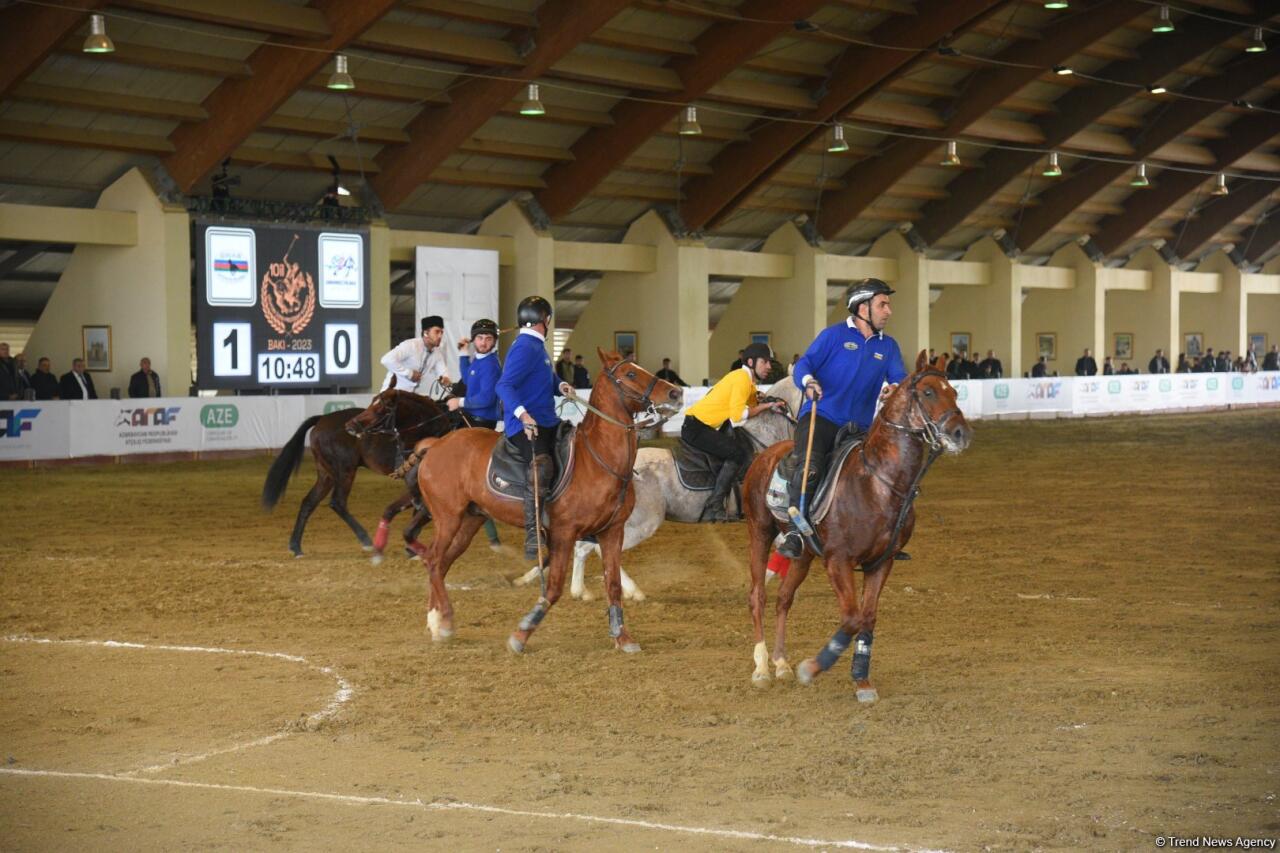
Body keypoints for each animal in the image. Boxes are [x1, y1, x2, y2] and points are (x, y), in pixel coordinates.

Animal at [262, 389, 453, 555]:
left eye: (381, 408)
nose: (352, 426)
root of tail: (323, 418)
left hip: (326, 474)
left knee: (309, 502)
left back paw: (295, 546)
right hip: (345, 470)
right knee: (337, 502)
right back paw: (366, 540)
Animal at [409, 348, 686, 648]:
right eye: (631, 373)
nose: (676, 393)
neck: (597, 460)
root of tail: (436, 445)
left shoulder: (612, 532)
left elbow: (612, 585)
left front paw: (622, 637)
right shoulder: (564, 533)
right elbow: (553, 588)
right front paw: (521, 633)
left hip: (471, 520)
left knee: (441, 564)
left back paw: (437, 622)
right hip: (448, 517)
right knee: (433, 560)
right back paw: (442, 621)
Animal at [512, 376, 798, 594]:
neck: (763, 441)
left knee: (585, 548)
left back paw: (579, 590)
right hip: (641, 522)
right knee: (599, 550)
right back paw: (631, 591)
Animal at [742, 350, 967, 696]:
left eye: (954, 391)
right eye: (928, 392)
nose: (960, 433)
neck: (878, 483)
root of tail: (765, 455)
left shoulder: (881, 562)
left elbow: (867, 618)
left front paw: (862, 678)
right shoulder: (839, 560)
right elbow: (851, 618)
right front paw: (813, 667)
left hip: (804, 555)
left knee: (783, 598)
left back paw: (781, 663)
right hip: (760, 531)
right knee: (759, 596)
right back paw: (762, 668)